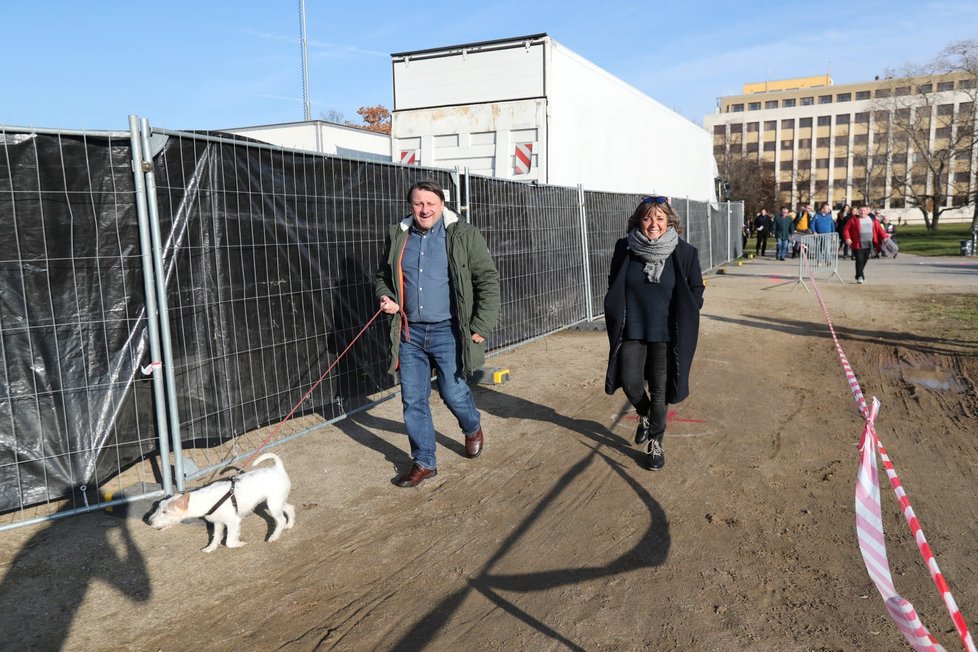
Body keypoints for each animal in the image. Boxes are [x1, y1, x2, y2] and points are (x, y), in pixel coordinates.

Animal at [147, 450, 296, 552]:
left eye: (165, 512)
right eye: (158, 508)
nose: (150, 522)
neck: (206, 500)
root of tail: (277, 468)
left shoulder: (233, 521)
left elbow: (229, 542)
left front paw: (239, 543)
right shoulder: (218, 523)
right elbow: (216, 537)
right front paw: (210, 548)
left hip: (273, 505)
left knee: (281, 520)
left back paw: (273, 537)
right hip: (275, 502)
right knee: (290, 508)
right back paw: (289, 525)